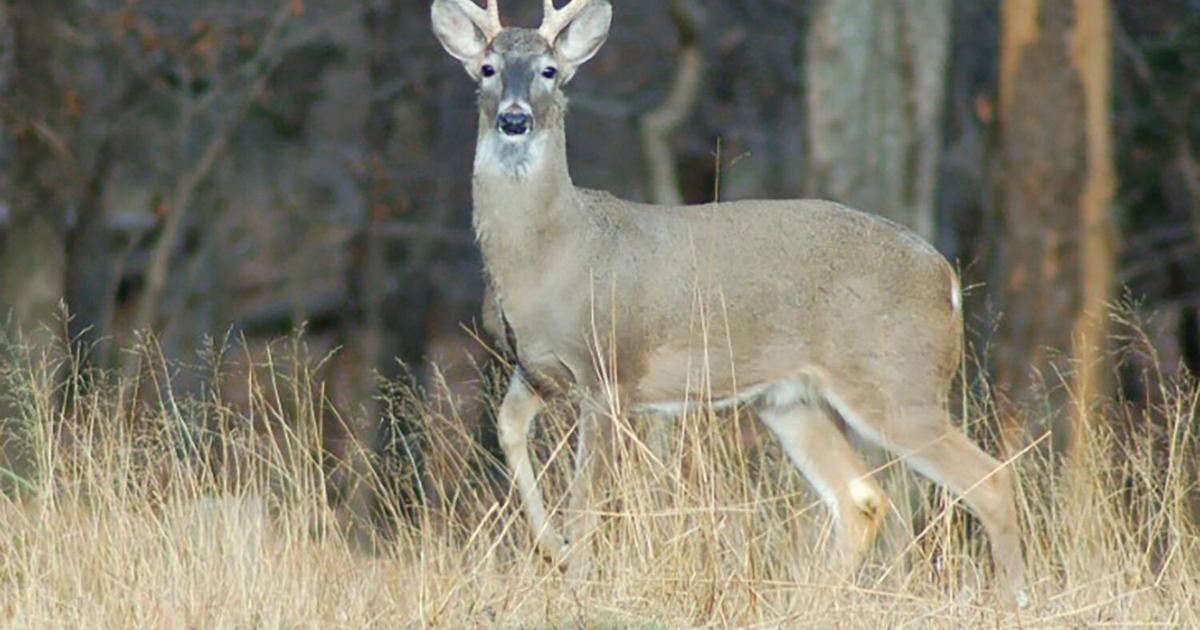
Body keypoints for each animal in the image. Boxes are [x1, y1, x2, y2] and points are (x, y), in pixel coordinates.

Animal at [431, 0, 1029, 608]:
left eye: (550, 71)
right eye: (487, 68)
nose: (514, 119)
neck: (552, 257)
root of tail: (945, 278)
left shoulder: (611, 372)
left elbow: (587, 499)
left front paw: (577, 584)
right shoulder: (535, 370)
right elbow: (508, 430)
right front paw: (553, 548)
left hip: (896, 380)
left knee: (988, 477)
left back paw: (1017, 599)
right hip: (790, 399)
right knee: (862, 497)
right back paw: (808, 601)